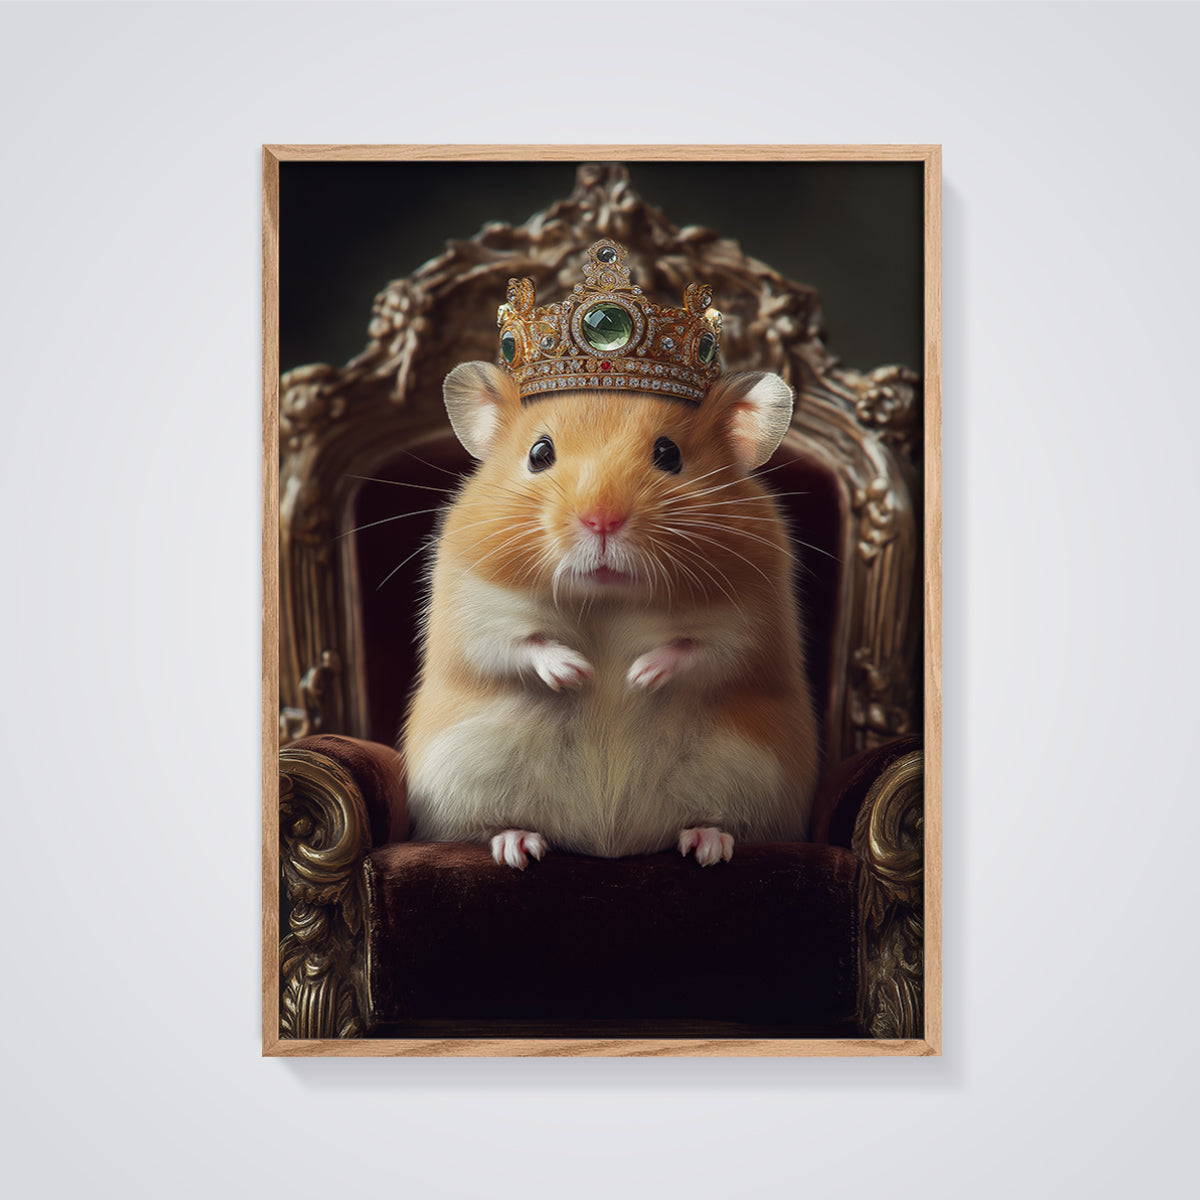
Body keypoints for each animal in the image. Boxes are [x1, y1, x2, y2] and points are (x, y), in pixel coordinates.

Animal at [401, 362, 819, 868]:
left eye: (669, 454)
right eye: (539, 454)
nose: (601, 521)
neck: (607, 597)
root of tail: (610, 843)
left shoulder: (750, 624)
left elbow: (698, 648)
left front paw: (636, 677)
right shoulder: (474, 613)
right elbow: (521, 643)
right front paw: (579, 673)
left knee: (720, 823)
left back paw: (708, 845)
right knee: (486, 828)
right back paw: (518, 847)